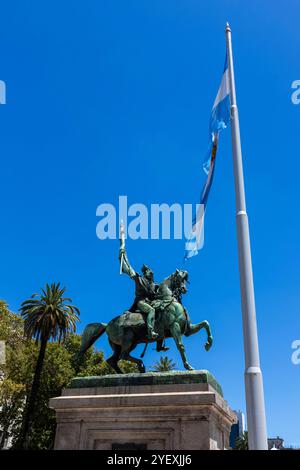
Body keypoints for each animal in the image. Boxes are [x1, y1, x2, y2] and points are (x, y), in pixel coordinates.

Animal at [77, 268, 213, 374]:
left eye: (186, 280)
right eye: (180, 278)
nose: (184, 289)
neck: (169, 299)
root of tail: (107, 325)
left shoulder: (187, 329)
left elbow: (206, 323)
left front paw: (208, 344)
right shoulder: (174, 327)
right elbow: (181, 346)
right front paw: (188, 367)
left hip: (124, 344)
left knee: (113, 360)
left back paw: (122, 374)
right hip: (129, 339)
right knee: (123, 355)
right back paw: (140, 365)